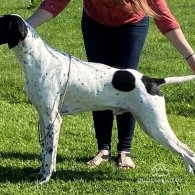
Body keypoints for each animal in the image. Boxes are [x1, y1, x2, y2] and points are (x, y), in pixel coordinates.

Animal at [0, 14, 195, 184]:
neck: (40, 60)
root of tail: (151, 80)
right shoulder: (44, 119)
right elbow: (46, 153)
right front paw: (42, 173)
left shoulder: (53, 121)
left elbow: (49, 154)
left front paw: (45, 179)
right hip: (149, 124)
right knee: (187, 151)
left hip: (156, 126)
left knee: (187, 152)